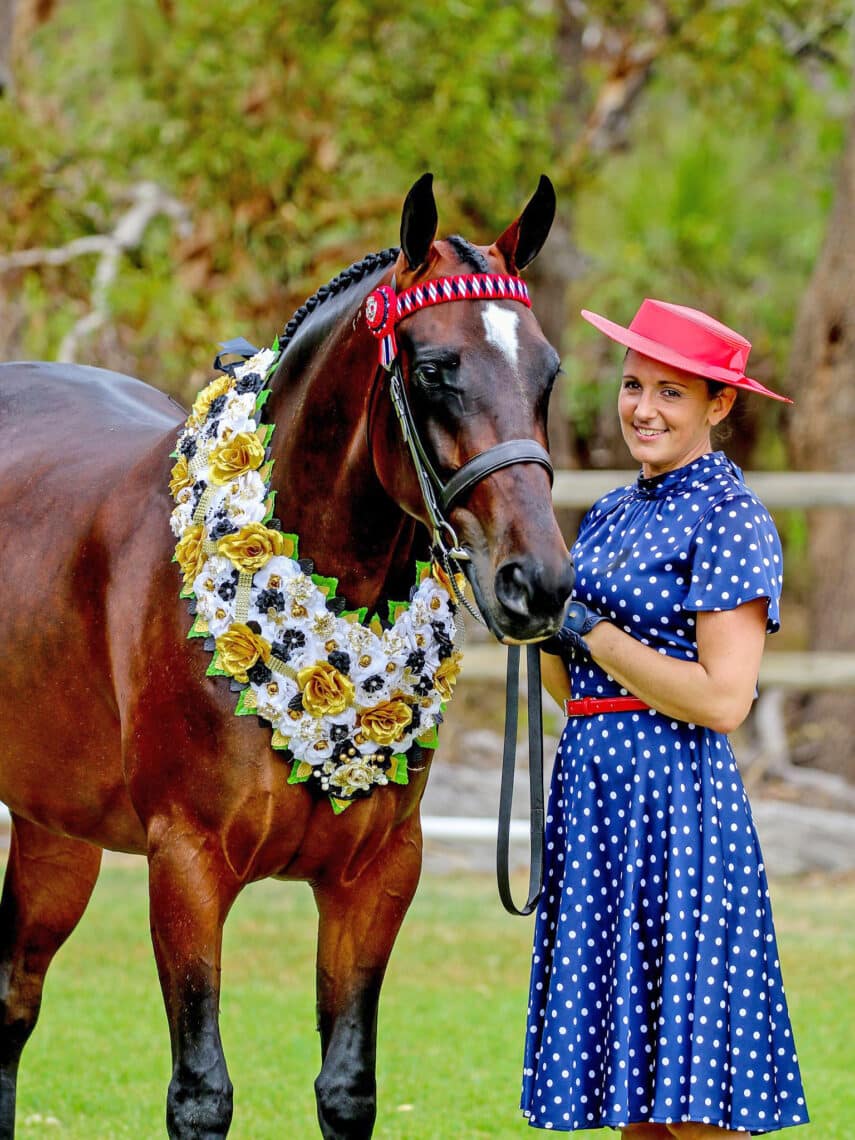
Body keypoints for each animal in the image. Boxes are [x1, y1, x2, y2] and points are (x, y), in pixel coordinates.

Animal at [0, 173, 576, 1135]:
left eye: (547, 372)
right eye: (434, 370)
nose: (538, 583)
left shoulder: (376, 877)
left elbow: (347, 1086)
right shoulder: (186, 866)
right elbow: (201, 1093)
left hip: (54, 831)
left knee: (10, 1003)